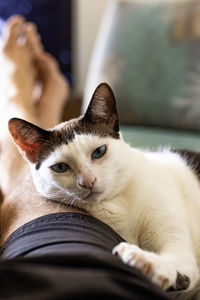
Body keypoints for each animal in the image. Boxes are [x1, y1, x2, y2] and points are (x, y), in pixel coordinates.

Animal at [7, 81, 200, 296]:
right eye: (60, 167)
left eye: (99, 151)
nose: (88, 181)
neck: (116, 204)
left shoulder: (181, 253)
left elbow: (176, 263)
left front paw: (142, 259)